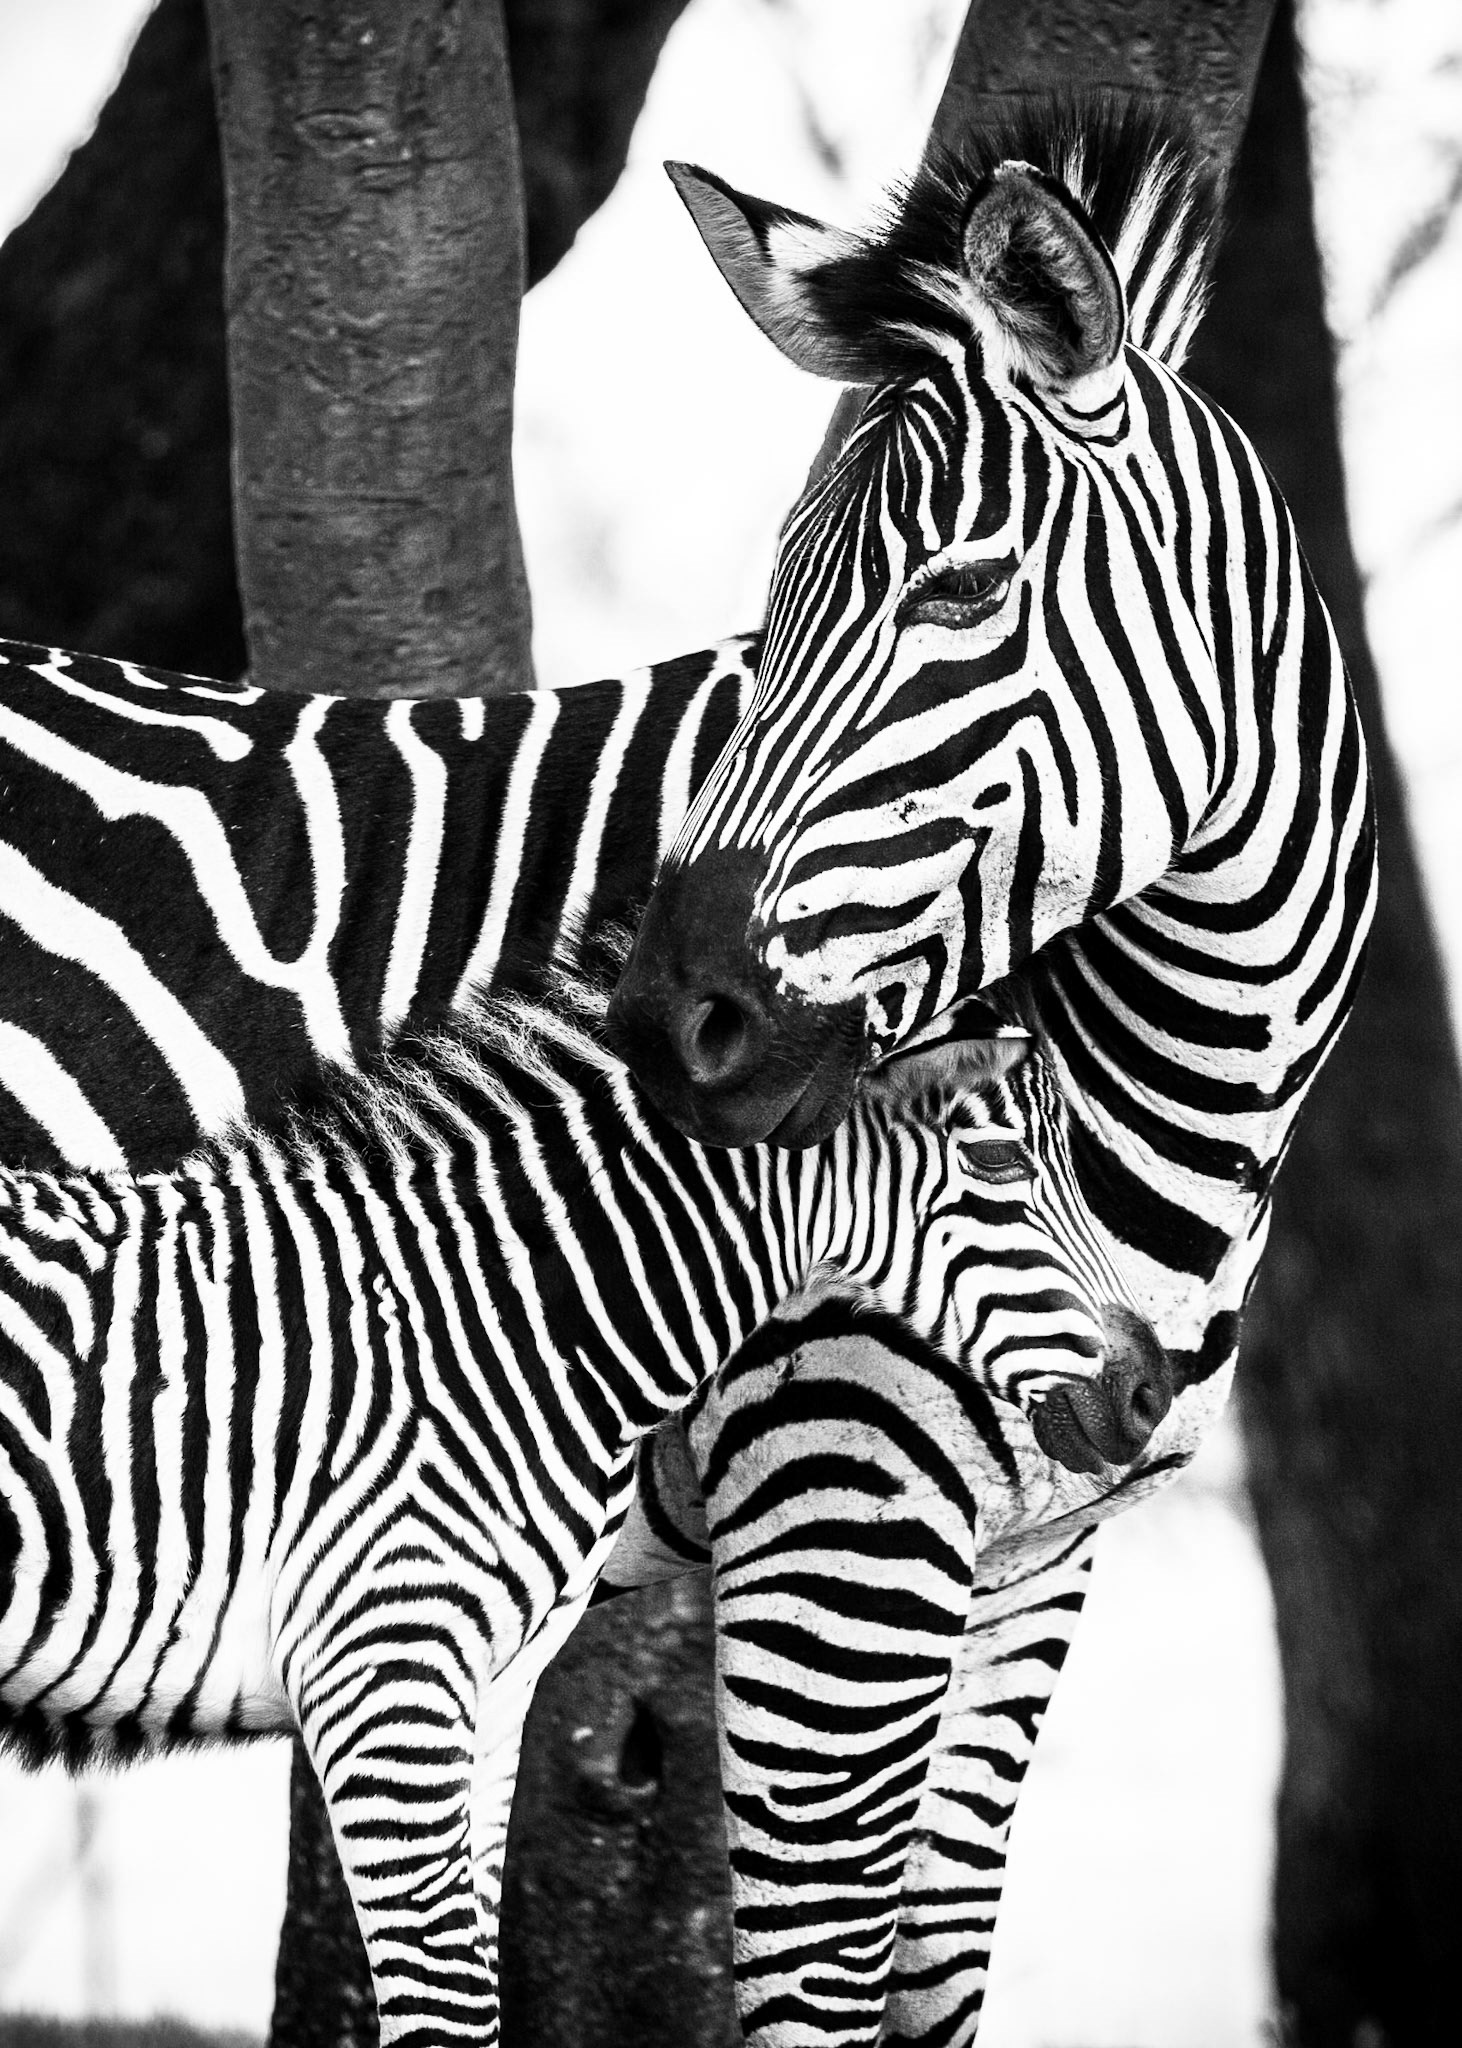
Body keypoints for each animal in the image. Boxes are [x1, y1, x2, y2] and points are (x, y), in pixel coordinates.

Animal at [1, 629, 1182, 2041]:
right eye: (1001, 1158)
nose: (1151, 1392)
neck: (499, 1303)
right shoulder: (386, 1673)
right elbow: (452, 2009)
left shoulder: (488, 1694)